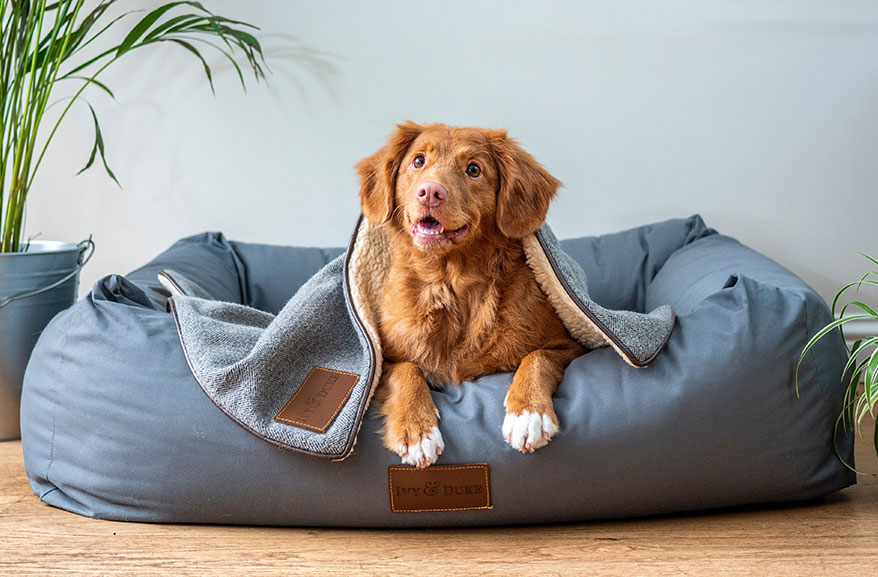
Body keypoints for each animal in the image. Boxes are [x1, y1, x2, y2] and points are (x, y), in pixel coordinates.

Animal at [358, 122, 584, 468]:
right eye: (418, 161)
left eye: (474, 170)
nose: (430, 192)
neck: (451, 282)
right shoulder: (383, 360)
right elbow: (407, 370)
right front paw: (416, 429)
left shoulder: (569, 346)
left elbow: (537, 357)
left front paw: (528, 414)